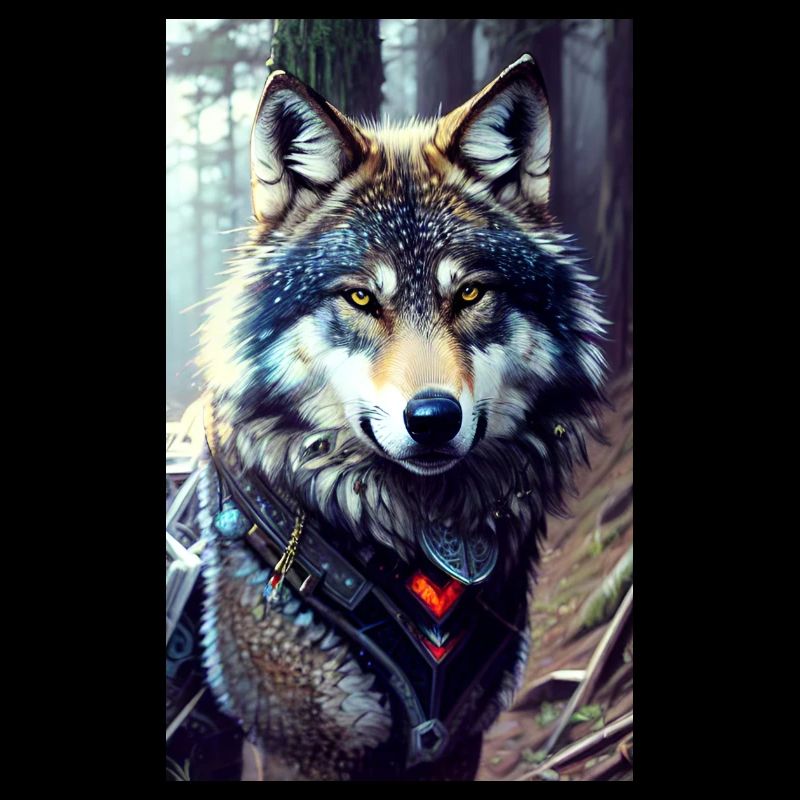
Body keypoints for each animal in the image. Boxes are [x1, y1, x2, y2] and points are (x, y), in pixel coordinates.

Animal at [195, 54, 608, 781]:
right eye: (361, 298)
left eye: (469, 292)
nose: (434, 418)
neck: (419, 532)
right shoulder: (301, 750)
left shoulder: (461, 739)